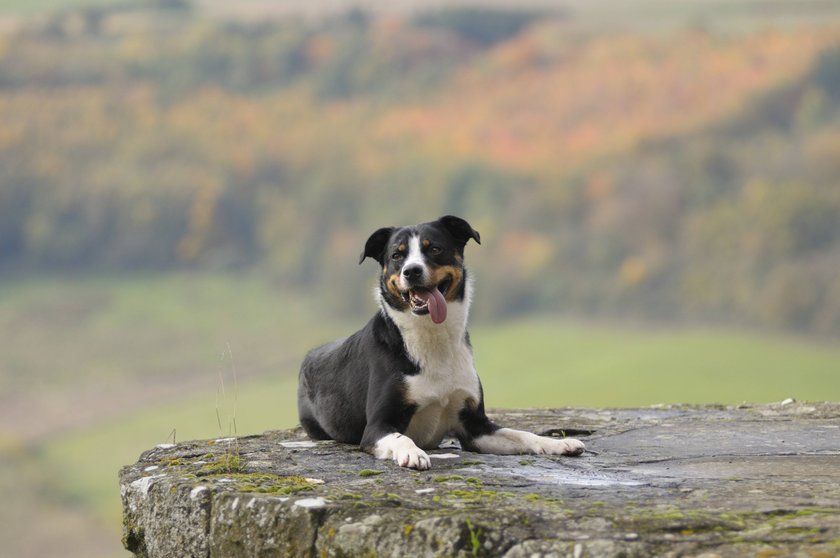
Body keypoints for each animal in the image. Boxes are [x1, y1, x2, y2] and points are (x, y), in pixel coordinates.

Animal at [296, 217, 584, 470]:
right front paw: (413, 453)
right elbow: (402, 437)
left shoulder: (475, 426)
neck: (433, 338)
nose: (412, 271)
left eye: (434, 248)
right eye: (397, 255)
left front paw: (559, 443)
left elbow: (521, 434)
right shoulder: (377, 426)